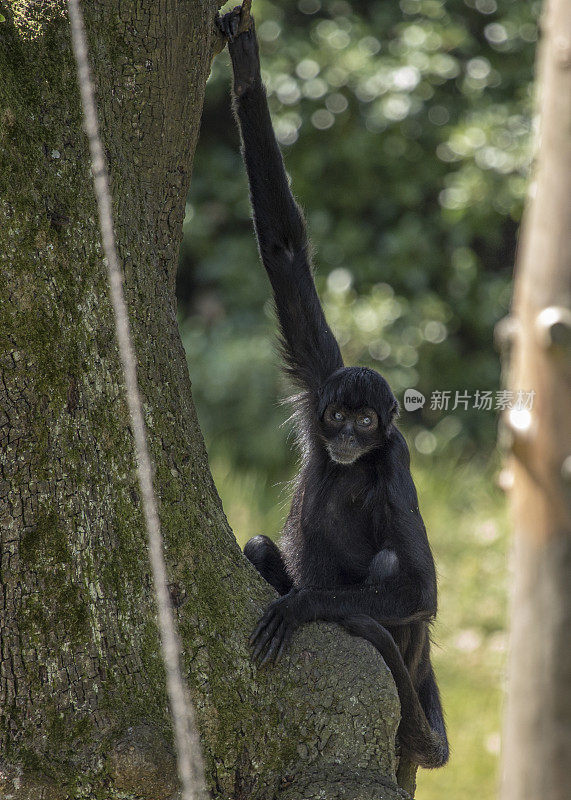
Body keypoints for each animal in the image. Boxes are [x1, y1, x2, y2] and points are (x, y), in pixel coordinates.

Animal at [217, 4, 450, 768]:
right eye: (337, 417)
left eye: (367, 424)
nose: (347, 437)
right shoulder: (320, 374)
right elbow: (285, 251)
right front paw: (246, 68)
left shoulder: (396, 460)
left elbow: (418, 582)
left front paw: (303, 606)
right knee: (262, 546)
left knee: (390, 568)